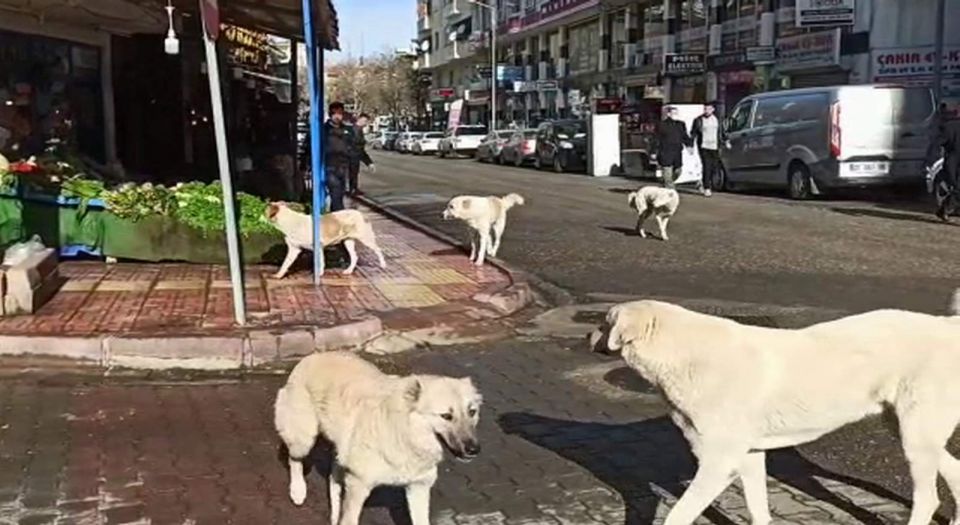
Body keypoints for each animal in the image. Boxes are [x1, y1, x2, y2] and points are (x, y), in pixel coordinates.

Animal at [274, 350, 484, 524]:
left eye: (472, 412)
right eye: (446, 416)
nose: (474, 450)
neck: (404, 432)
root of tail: (313, 355)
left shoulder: (419, 488)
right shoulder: (358, 485)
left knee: (333, 476)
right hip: (303, 440)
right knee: (294, 460)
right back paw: (298, 490)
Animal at [596, 290, 960, 524]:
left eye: (604, 323)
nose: (589, 336)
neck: (685, 353)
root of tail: (947, 324)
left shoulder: (719, 464)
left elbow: (678, 515)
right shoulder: (749, 458)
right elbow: (758, 510)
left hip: (915, 436)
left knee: (928, 499)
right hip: (908, 431)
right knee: (955, 469)